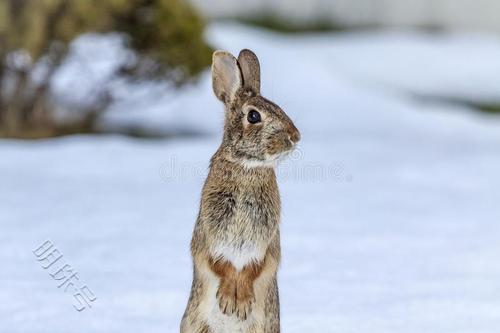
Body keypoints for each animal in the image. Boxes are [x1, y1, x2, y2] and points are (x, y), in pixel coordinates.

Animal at [182, 49, 300, 332]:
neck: (247, 166)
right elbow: (219, 264)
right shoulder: (208, 232)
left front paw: (240, 302)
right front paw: (229, 301)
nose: (295, 136)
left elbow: (256, 268)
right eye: (254, 116)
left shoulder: (267, 241)